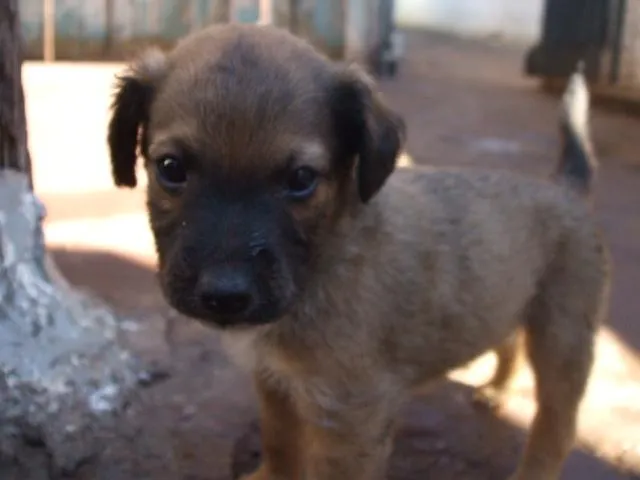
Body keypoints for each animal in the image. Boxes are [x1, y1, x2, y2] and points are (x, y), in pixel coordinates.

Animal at [105, 23, 608, 480]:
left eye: (301, 179)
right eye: (171, 168)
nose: (225, 295)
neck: (324, 264)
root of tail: (565, 189)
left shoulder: (351, 415)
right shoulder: (275, 382)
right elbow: (280, 441)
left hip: (563, 336)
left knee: (556, 427)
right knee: (508, 342)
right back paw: (498, 389)